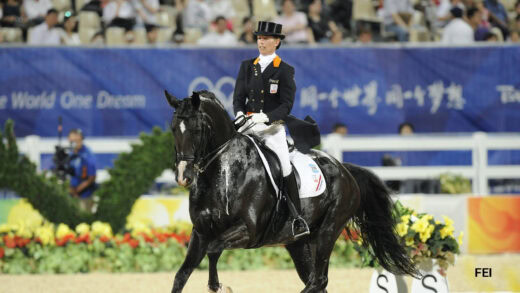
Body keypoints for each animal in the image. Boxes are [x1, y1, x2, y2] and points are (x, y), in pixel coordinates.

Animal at [165, 90, 416, 290]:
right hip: (298, 243)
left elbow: (214, 249)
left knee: (318, 280)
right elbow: (181, 275)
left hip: (328, 231)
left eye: (197, 130)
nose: (183, 176)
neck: (224, 171)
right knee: (316, 281)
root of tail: (345, 170)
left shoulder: (248, 230)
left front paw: (218, 286)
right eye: (173, 128)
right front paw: (215, 285)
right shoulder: (200, 232)